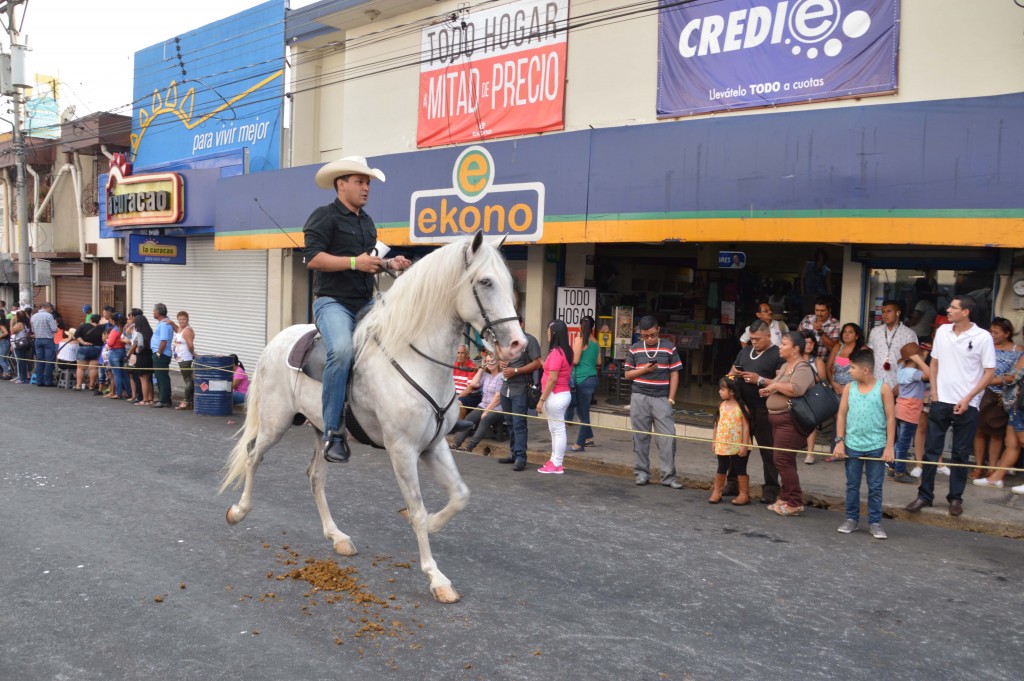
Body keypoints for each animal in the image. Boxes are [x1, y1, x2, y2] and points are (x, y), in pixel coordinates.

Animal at [225, 232, 528, 602]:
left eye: (509, 282)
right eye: (485, 282)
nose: (517, 344)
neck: (416, 358)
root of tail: (277, 340)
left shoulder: (434, 446)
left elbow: (459, 495)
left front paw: (434, 524)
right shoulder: (402, 450)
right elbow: (417, 509)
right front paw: (436, 577)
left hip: (322, 430)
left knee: (315, 476)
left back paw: (337, 536)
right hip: (275, 423)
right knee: (253, 456)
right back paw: (238, 511)